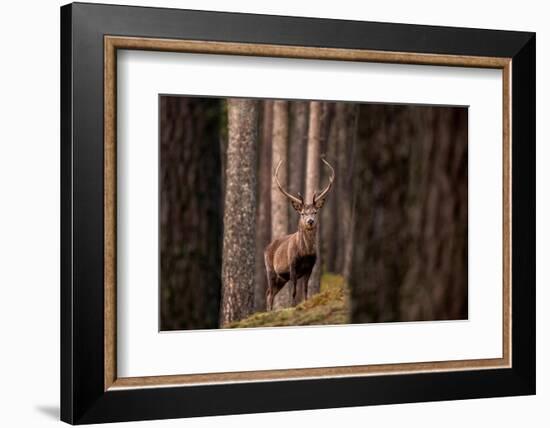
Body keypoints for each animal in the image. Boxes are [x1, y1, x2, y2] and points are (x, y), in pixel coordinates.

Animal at [264, 157, 336, 310]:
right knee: (270, 293)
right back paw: (269, 311)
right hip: (270, 270)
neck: (305, 253)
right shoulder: (292, 266)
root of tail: (266, 248)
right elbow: (294, 291)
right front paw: (292, 307)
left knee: (269, 292)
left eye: (315, 212)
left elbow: (306, 290)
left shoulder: (310, 267)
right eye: (303, 213)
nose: (310, 221)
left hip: (281, 278)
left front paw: (306, 303)